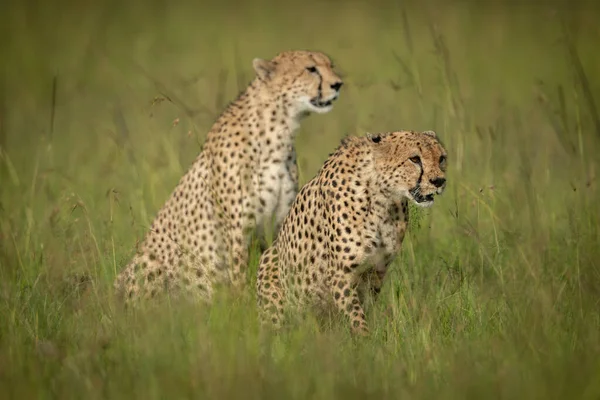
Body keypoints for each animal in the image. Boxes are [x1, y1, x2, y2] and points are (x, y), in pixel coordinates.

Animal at [115, 50, 344, 304]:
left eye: (330, 65)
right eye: (310, 69)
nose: (337, 84)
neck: (279, 131)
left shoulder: (275, 227)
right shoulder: (237, 231)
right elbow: (240, 278)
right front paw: (242, 304)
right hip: (149, 262)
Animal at [255, 130, 448, 334]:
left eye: (441, 158)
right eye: (414, 159)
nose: (438, 181)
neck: (382, 197)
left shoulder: (376, 270)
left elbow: (365, 308)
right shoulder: (341, 273)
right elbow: (356, 316)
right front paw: (365, 339)